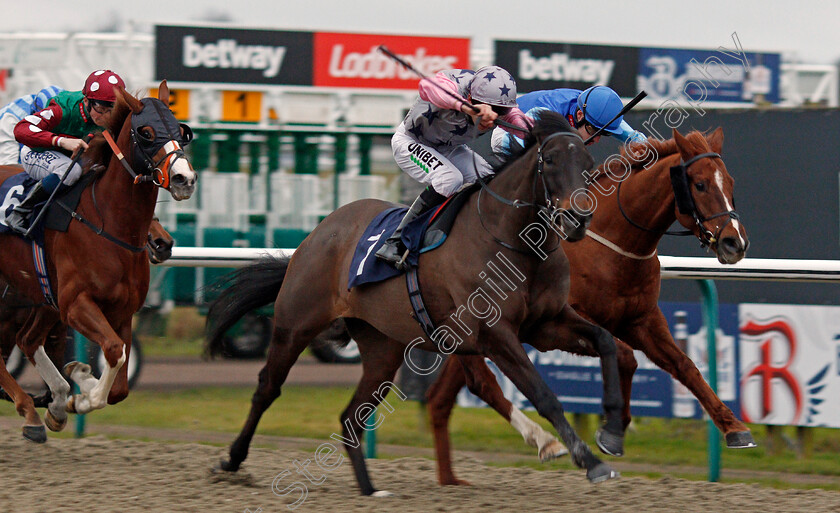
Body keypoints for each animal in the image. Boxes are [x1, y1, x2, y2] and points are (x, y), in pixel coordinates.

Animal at [0, 83, 196, 440]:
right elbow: (115, 352)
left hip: (42, 299)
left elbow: (119, 383)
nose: (183, 179)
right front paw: (81, 394)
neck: (109, 224)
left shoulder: (120, 311)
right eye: (146, 132)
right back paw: (29, 410)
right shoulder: (76, 303)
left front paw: (76, 388)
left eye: (181, 131)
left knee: (28, 340)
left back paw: (52, 402)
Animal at [208, 113, 628, 496]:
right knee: (267, 388)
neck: (514, 240)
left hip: (383, 347)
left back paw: (370, 490)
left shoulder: (546, 323)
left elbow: (607, 341)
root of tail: (318, 232)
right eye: (551, 160)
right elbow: (545, 395)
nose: (577, 218)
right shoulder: (497, 334)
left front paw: (611, 431)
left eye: (587, 163)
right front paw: (590, 461)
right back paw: (231, 461)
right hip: (295, 324)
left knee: (352, 417)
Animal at [426, 128, 756, 484]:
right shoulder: (559, 320)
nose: (735, 243)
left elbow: (685, 366)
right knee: (480, 382)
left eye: (730, 182)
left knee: (441, 397)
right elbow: (625, 357)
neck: (612, 244)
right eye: (700, 184)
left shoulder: (641, 319)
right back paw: (542, 444)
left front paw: (735, 427)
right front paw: (612, 431)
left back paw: (450, 479)